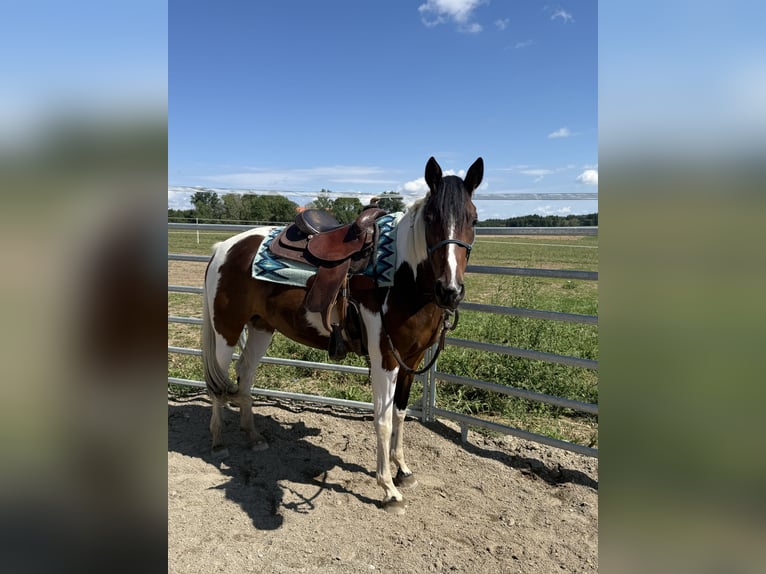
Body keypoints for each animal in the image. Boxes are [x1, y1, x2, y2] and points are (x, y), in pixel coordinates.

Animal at [200, 156, 483, 513]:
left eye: (473, 219)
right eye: (431, 218)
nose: (450, 291)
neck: (403, 277)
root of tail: (224, 247)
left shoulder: (413, 358)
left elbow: (401, 413)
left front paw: (403, 471)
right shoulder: (385, 359)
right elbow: (383, 419)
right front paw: (388, 489)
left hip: (262, 326)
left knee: (245, 373)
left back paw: (253, 437)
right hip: (226, 329)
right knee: (217, 382)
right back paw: (217, 442)